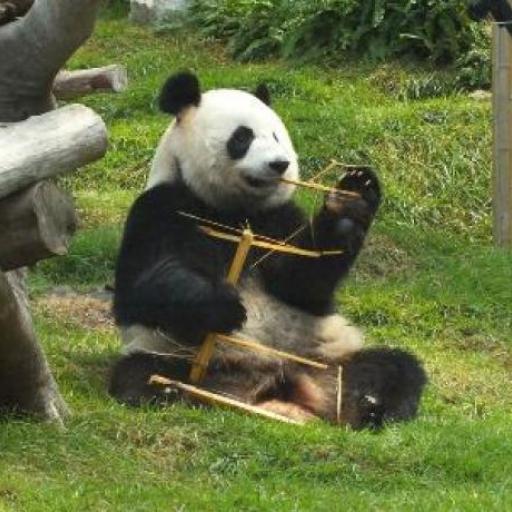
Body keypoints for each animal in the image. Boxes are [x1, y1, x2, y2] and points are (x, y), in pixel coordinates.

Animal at [109, 72, 428, 430]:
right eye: (242, 137)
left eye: (276, 135)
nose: (280, 164)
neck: (235, 211)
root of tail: (278, 388)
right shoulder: (163, 207)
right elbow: (140, 289)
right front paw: (223, 305)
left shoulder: (278, 218)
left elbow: (304, 283)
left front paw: (351, 201)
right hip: (182, 356)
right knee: (139, 374)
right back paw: (173, 391)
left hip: (323, 359)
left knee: (394, 367)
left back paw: (373, 405)